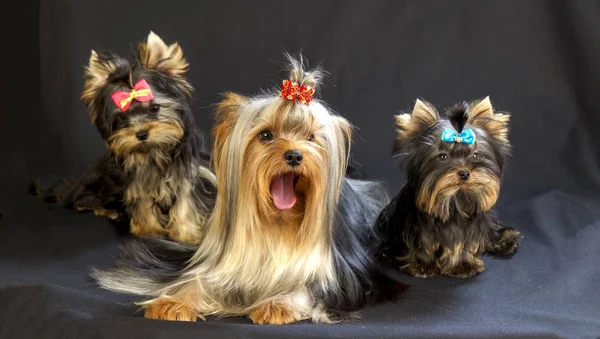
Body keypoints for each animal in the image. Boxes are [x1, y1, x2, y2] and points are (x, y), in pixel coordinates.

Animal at [32, 32, 216, 244]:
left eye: (154, 108)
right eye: (122, 118)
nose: (141, 134)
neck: (154, 150)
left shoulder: (186, 173)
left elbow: (186, 200)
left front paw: (188, 234)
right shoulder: (134, 178)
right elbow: (141, 197)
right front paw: (149, 230)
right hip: (98, 179)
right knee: (82, 201)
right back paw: (107, 211)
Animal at [378, 97, 524, 278]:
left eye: (475, 155)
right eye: (442, 156)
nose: (464, 173)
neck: (454, 198)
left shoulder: (467, 227)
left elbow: (460, 243)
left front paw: (462, 265)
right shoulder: (415, 226)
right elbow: (422, 243)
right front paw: (422, 265)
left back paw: (505, 240)